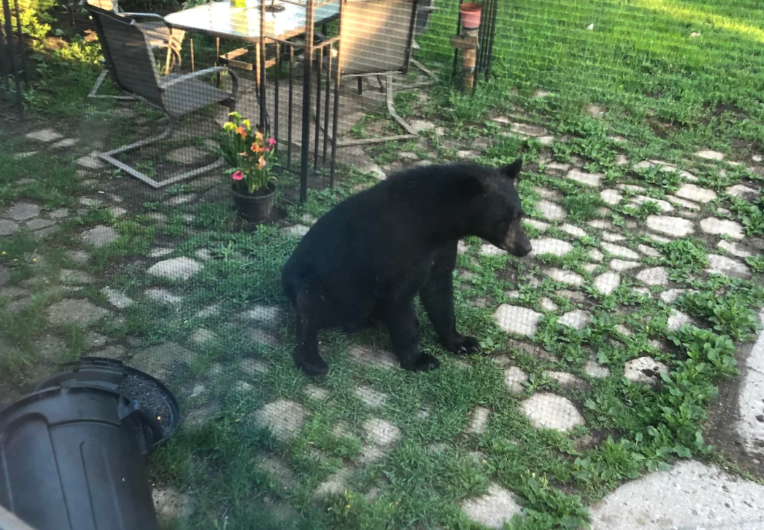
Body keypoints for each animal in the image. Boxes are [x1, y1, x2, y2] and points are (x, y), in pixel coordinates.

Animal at [281, 159, 532, 375]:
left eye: (520, 215)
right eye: (502, 219)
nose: (526, 247)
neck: (436, 224)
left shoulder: (443, 249)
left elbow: (440, 294)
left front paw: (461, 342)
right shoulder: (401, 251)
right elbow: (401, 299)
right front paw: (420, 360)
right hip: (306, 279)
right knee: (308, 307)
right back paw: (313, 360)